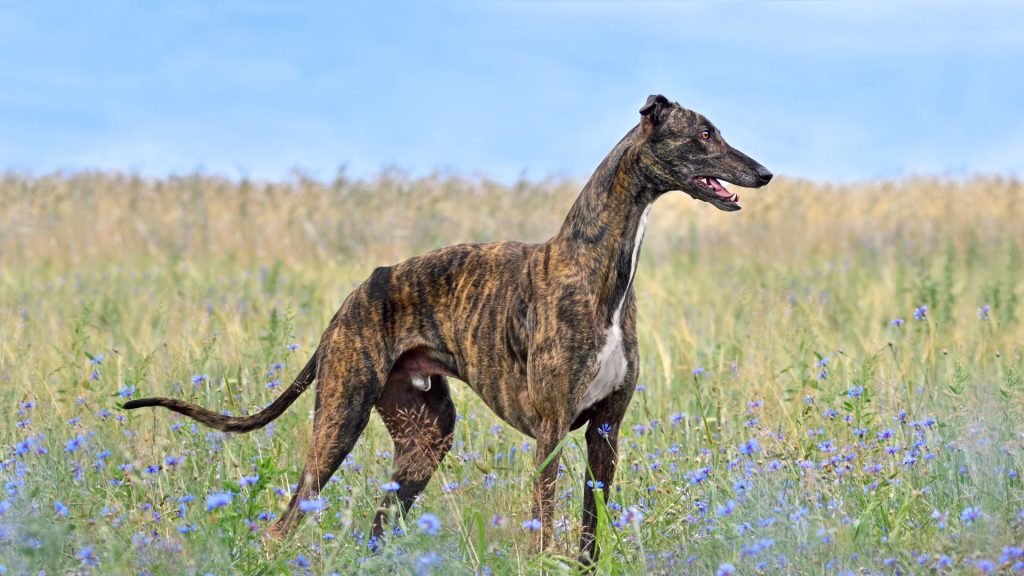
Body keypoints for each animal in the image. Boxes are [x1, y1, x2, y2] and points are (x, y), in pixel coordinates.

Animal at [123, 95, 770, 561]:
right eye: (704, 134)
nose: (764, 172)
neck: (596, 266)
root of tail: (349, 301)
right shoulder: (552, 431)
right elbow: (544, 526)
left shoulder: (604, 430)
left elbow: (592, 534)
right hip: (340, 419)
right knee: (282, 526)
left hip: (424, 440)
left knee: (376, 530)